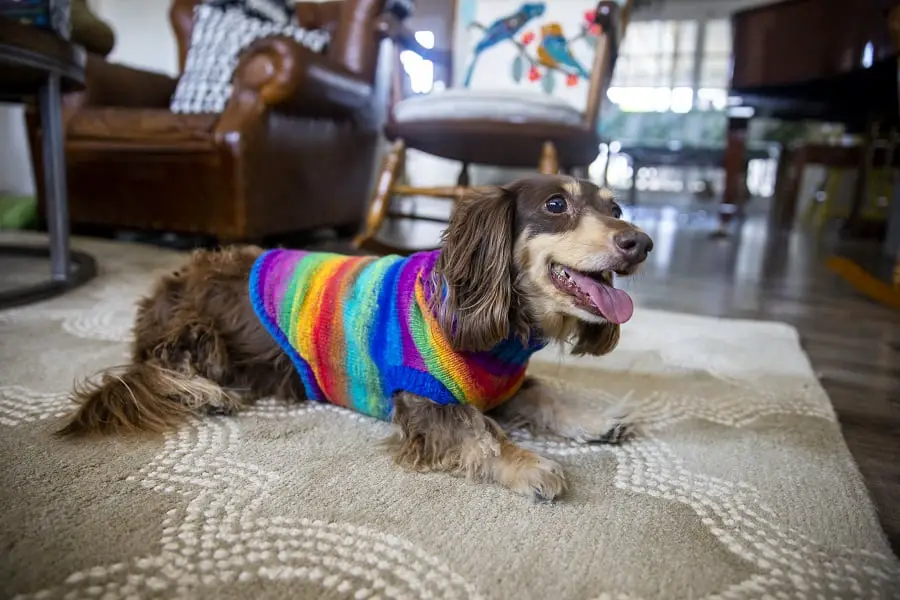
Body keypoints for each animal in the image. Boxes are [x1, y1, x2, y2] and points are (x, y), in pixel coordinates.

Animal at [59, 175, 652, 502]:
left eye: (616, 209)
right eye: (556, 205)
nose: (641, 242)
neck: (499, 328)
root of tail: (161, 291)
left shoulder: (503, 383)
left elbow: (545, 393)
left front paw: (596, 418)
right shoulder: (424, 401)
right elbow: (479, 432)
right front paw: (530, 464)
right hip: (199, 333)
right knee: (158, 368)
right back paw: (206, 394)